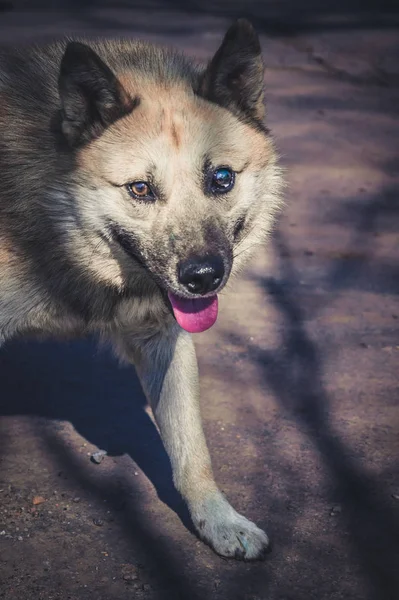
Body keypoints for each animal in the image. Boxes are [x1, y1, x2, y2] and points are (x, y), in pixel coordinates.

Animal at [0, 19, 284, 564]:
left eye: (221, 179)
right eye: (139, 189)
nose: (203, 277)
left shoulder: (163, 340)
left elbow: (192, 449)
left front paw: (219, 521)